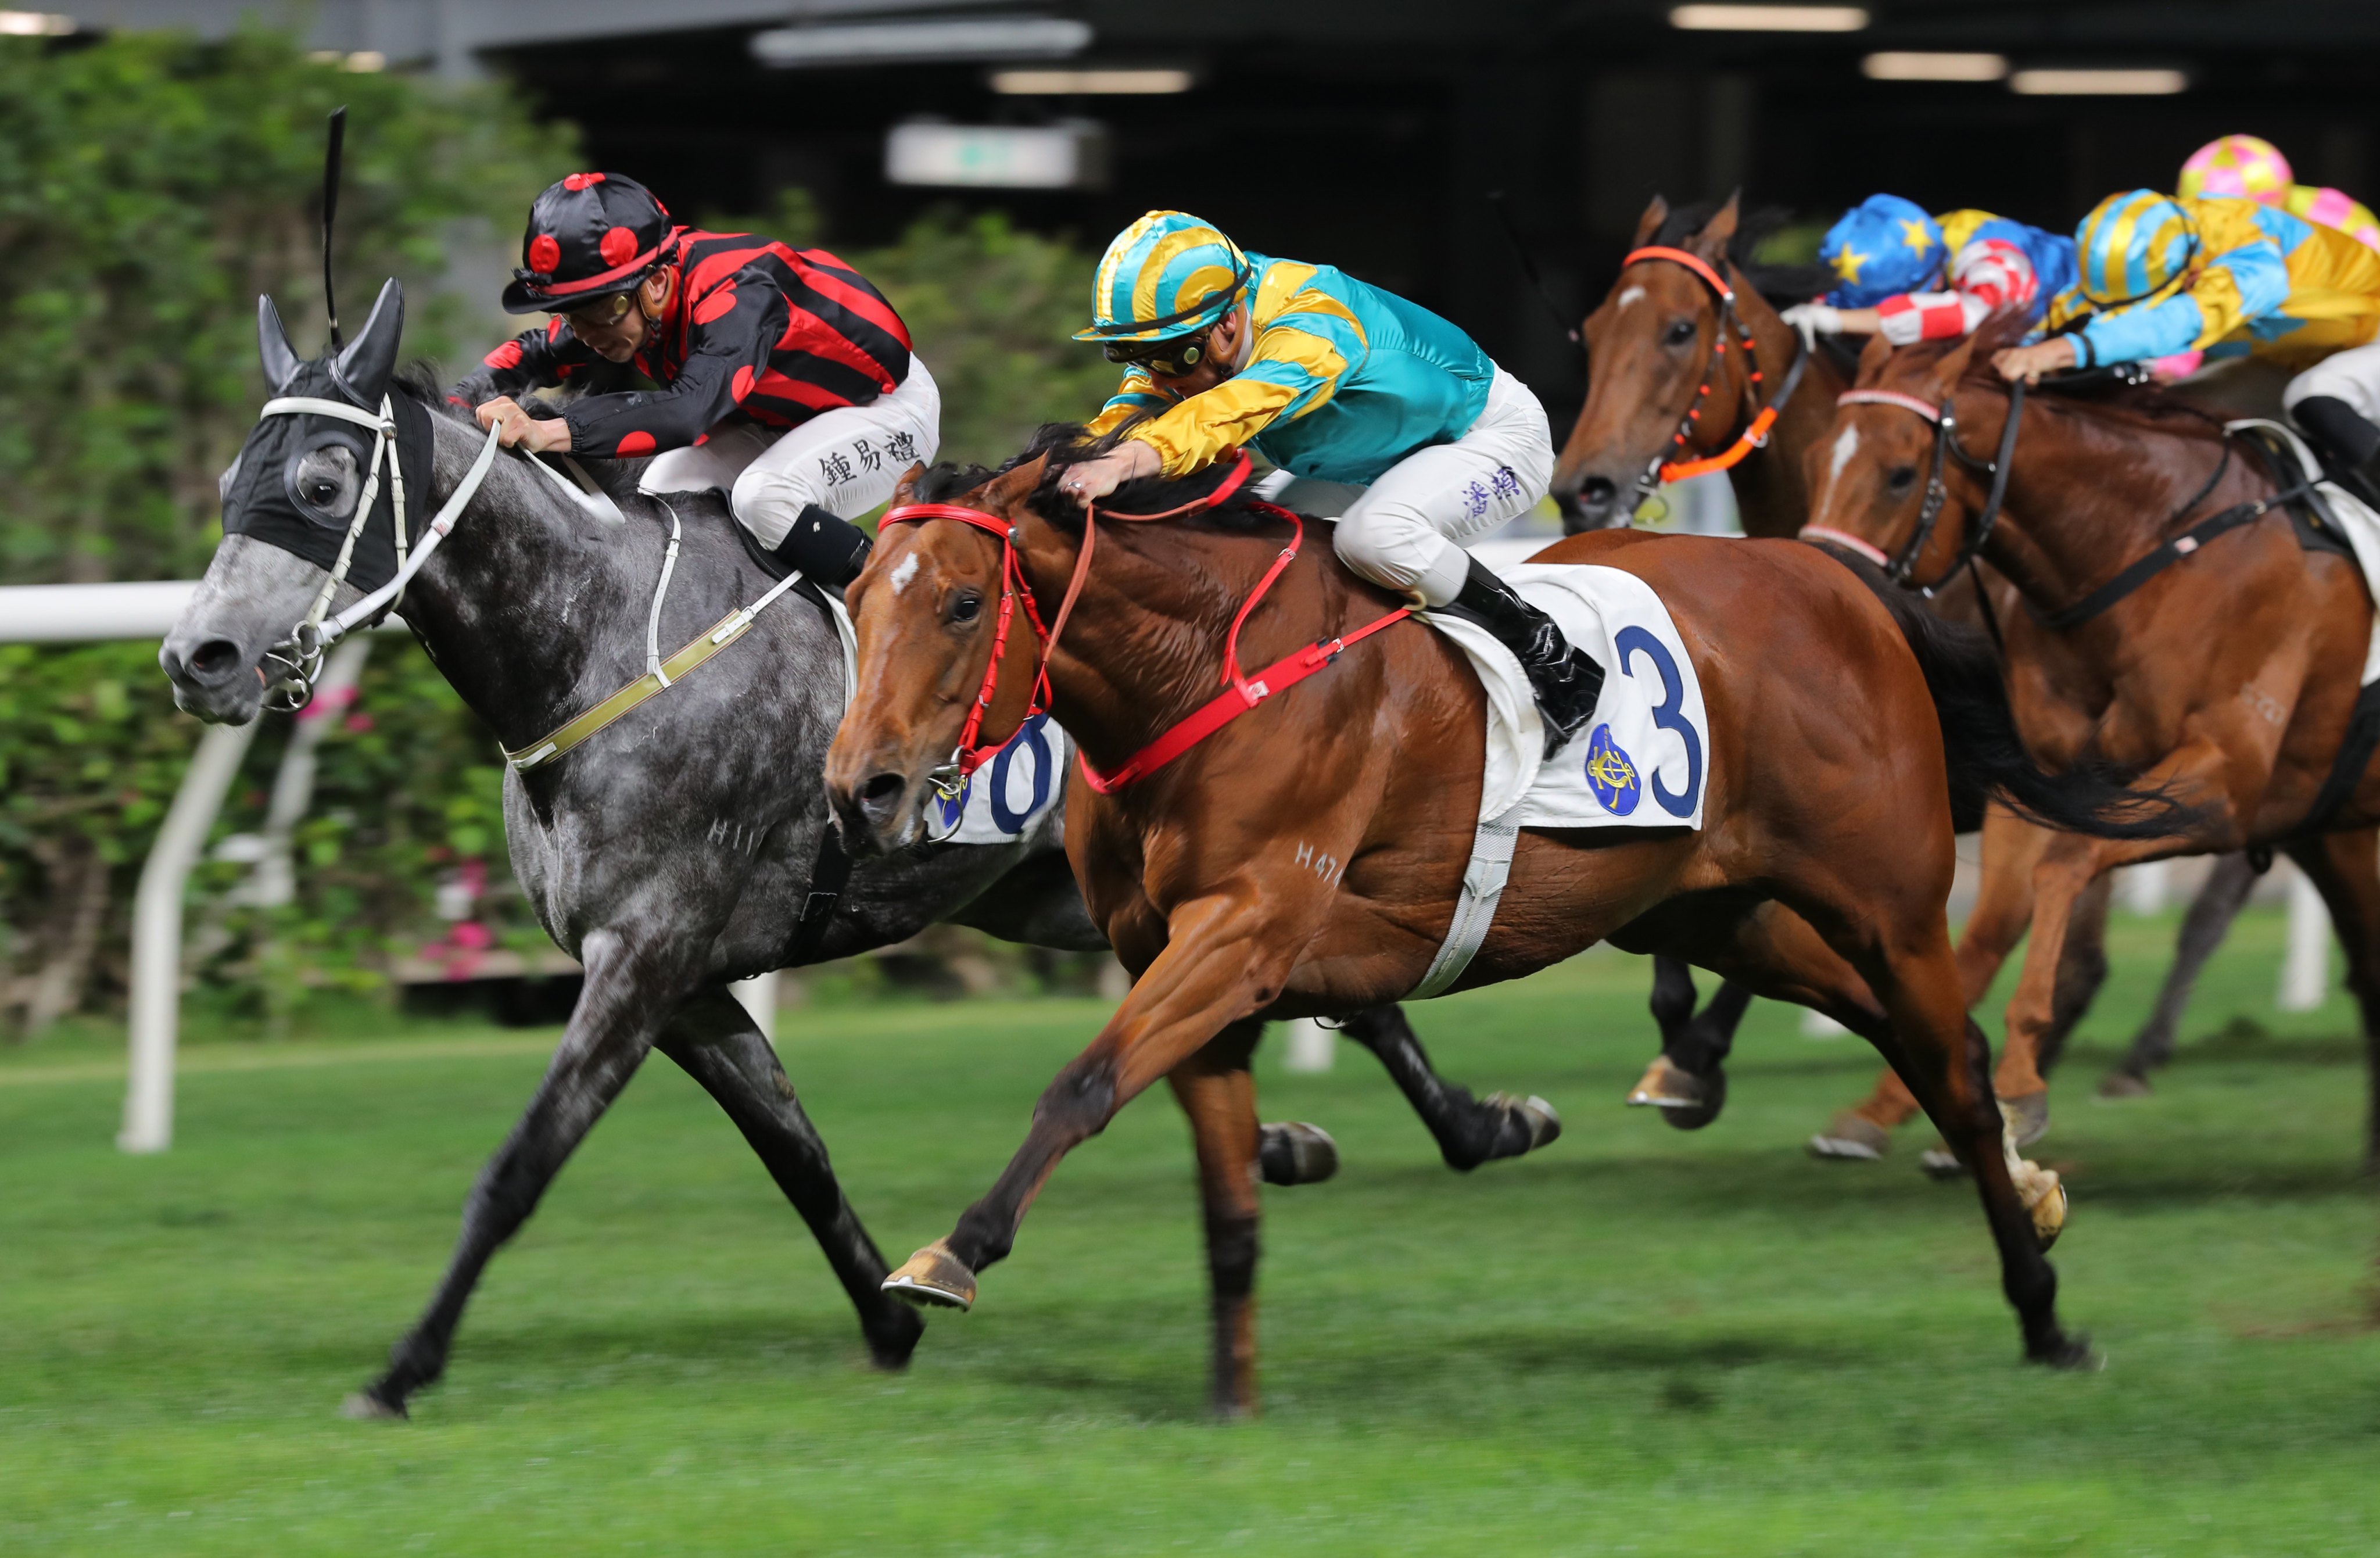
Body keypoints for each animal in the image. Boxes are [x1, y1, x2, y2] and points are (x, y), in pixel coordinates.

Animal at [153, 277, 1561, 1417]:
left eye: (322, 485)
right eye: (229, 483)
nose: (196, 659)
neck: (598, 646)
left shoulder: (642, 957)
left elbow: (521, 1164)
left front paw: (401, 1369)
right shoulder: (686, 986)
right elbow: (796, 1152)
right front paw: (890, 1321)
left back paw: (1460, 1120)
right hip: (1061, 891)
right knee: (1314, 992)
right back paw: (1353, 1132)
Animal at [823, 423, 2180, 1417]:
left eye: (959, 604)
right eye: (858, 589)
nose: (860, 787)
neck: (1204, 668)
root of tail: (1828, 573)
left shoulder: (1244, 931)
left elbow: (1081, 1085)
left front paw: (951, 1252)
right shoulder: (1185, 960)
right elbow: (1225, 1205)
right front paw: (1231, 1400)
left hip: (1883, 898)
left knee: (1948, 1059)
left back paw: (2044, 1310)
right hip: (1717, 908)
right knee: (1909, 1037)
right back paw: (2022, 1189)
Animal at [1799, 323, 2380, 1165]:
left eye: (1902, 474)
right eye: (1815, 459)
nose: (1823, 592)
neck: (2147, 551)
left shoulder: (2220, 784)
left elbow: (2068, 865)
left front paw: (2019, 1085)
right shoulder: (2038, 783)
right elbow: (1987, 928)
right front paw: (1881, 1110)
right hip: (2339, 826)